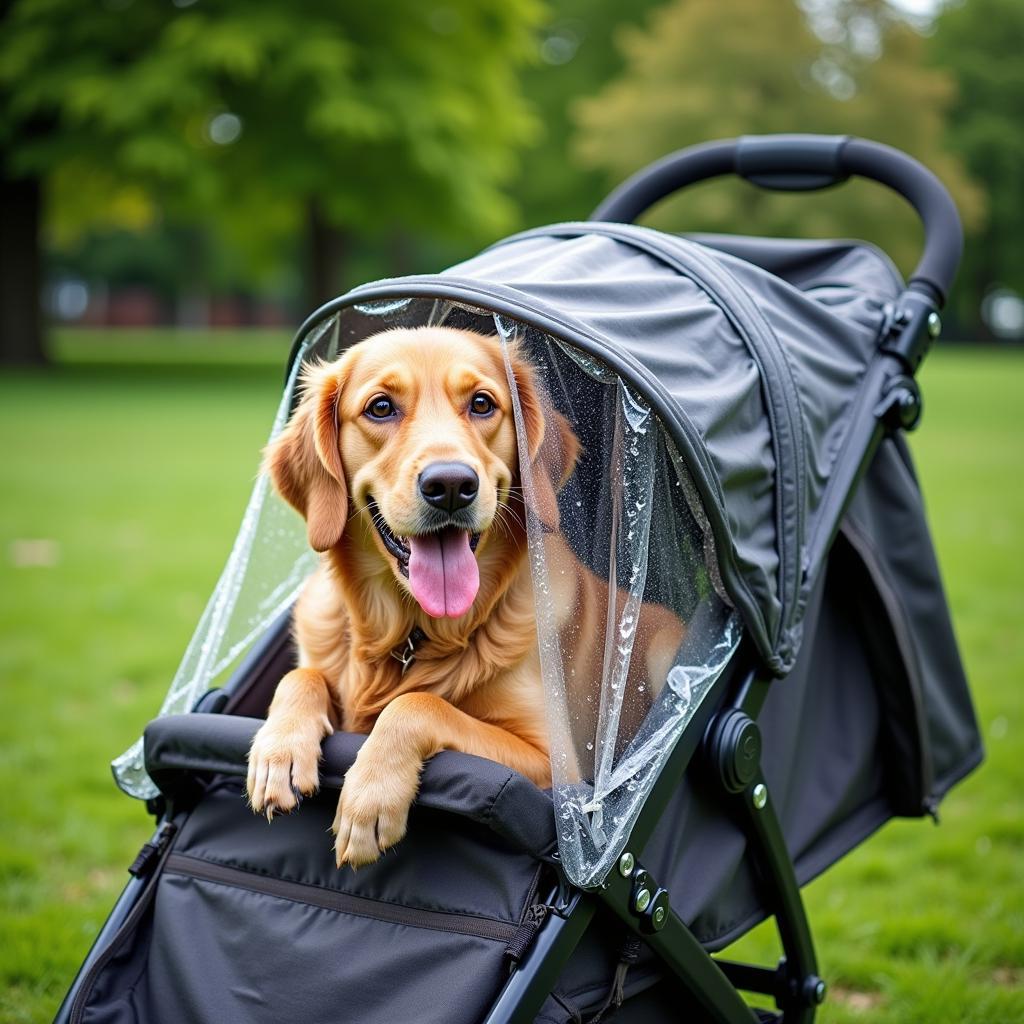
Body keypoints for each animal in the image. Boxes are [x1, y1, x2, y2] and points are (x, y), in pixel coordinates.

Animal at [243, 325, 684, 864]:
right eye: (380, 407)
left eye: (481, 404)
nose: (451, 484)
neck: (411, 634)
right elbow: (301, 676)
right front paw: (279, 750)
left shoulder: (552, 765)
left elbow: (417, 705)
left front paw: (369, 798)